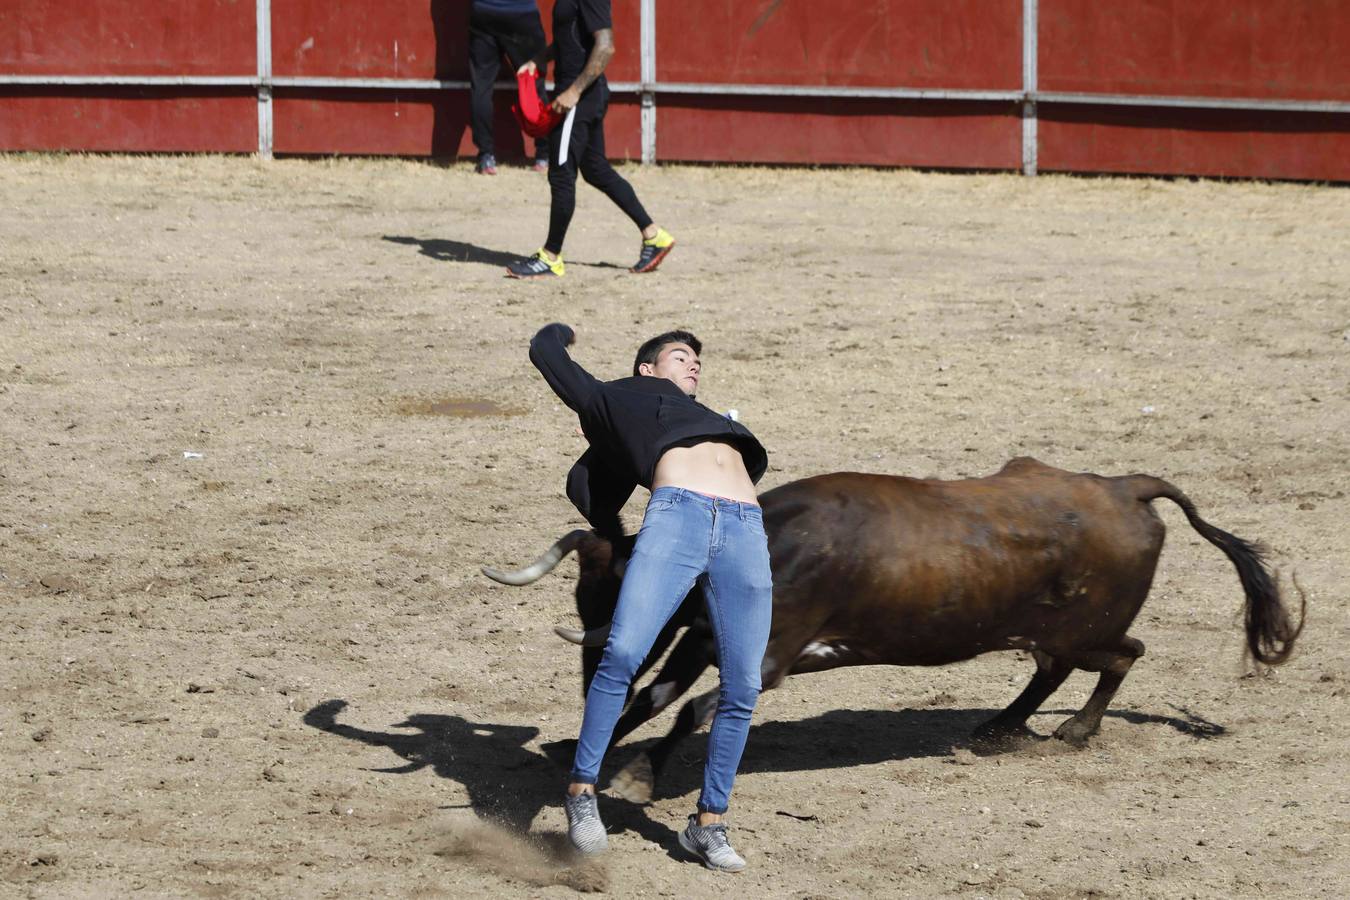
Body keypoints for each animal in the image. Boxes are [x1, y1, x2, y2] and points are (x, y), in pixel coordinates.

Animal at [483, 461, 1296, 798]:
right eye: (586, 587)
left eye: (618, 586)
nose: (593, 660)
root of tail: (1125, 487)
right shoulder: (700, 642)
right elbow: (652, 700)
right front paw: (587, 758)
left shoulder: (767, 659)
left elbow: (693, 711)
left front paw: (638, 776)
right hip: (1043, 630)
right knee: (1054, 670)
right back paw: (998, 728)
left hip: (1085, 628)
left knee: (1122, 655)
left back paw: (1074, 731)